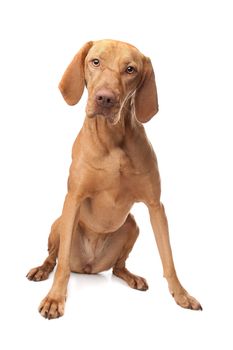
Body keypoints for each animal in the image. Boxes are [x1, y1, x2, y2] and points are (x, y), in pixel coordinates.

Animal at [26, 39, 202, 318]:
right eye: (95, 61)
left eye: (130, 69)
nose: (105, 98)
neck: (112, 140)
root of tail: (88, 267)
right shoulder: (73, 199)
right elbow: (62, 264)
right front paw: (55, 298)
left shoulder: (156, 206)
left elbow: (168, 258)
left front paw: (181, 294)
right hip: (59, 223)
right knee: (54, 257)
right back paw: (42, 269)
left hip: (132, 227)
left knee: (119, 266)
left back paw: (132, 277)